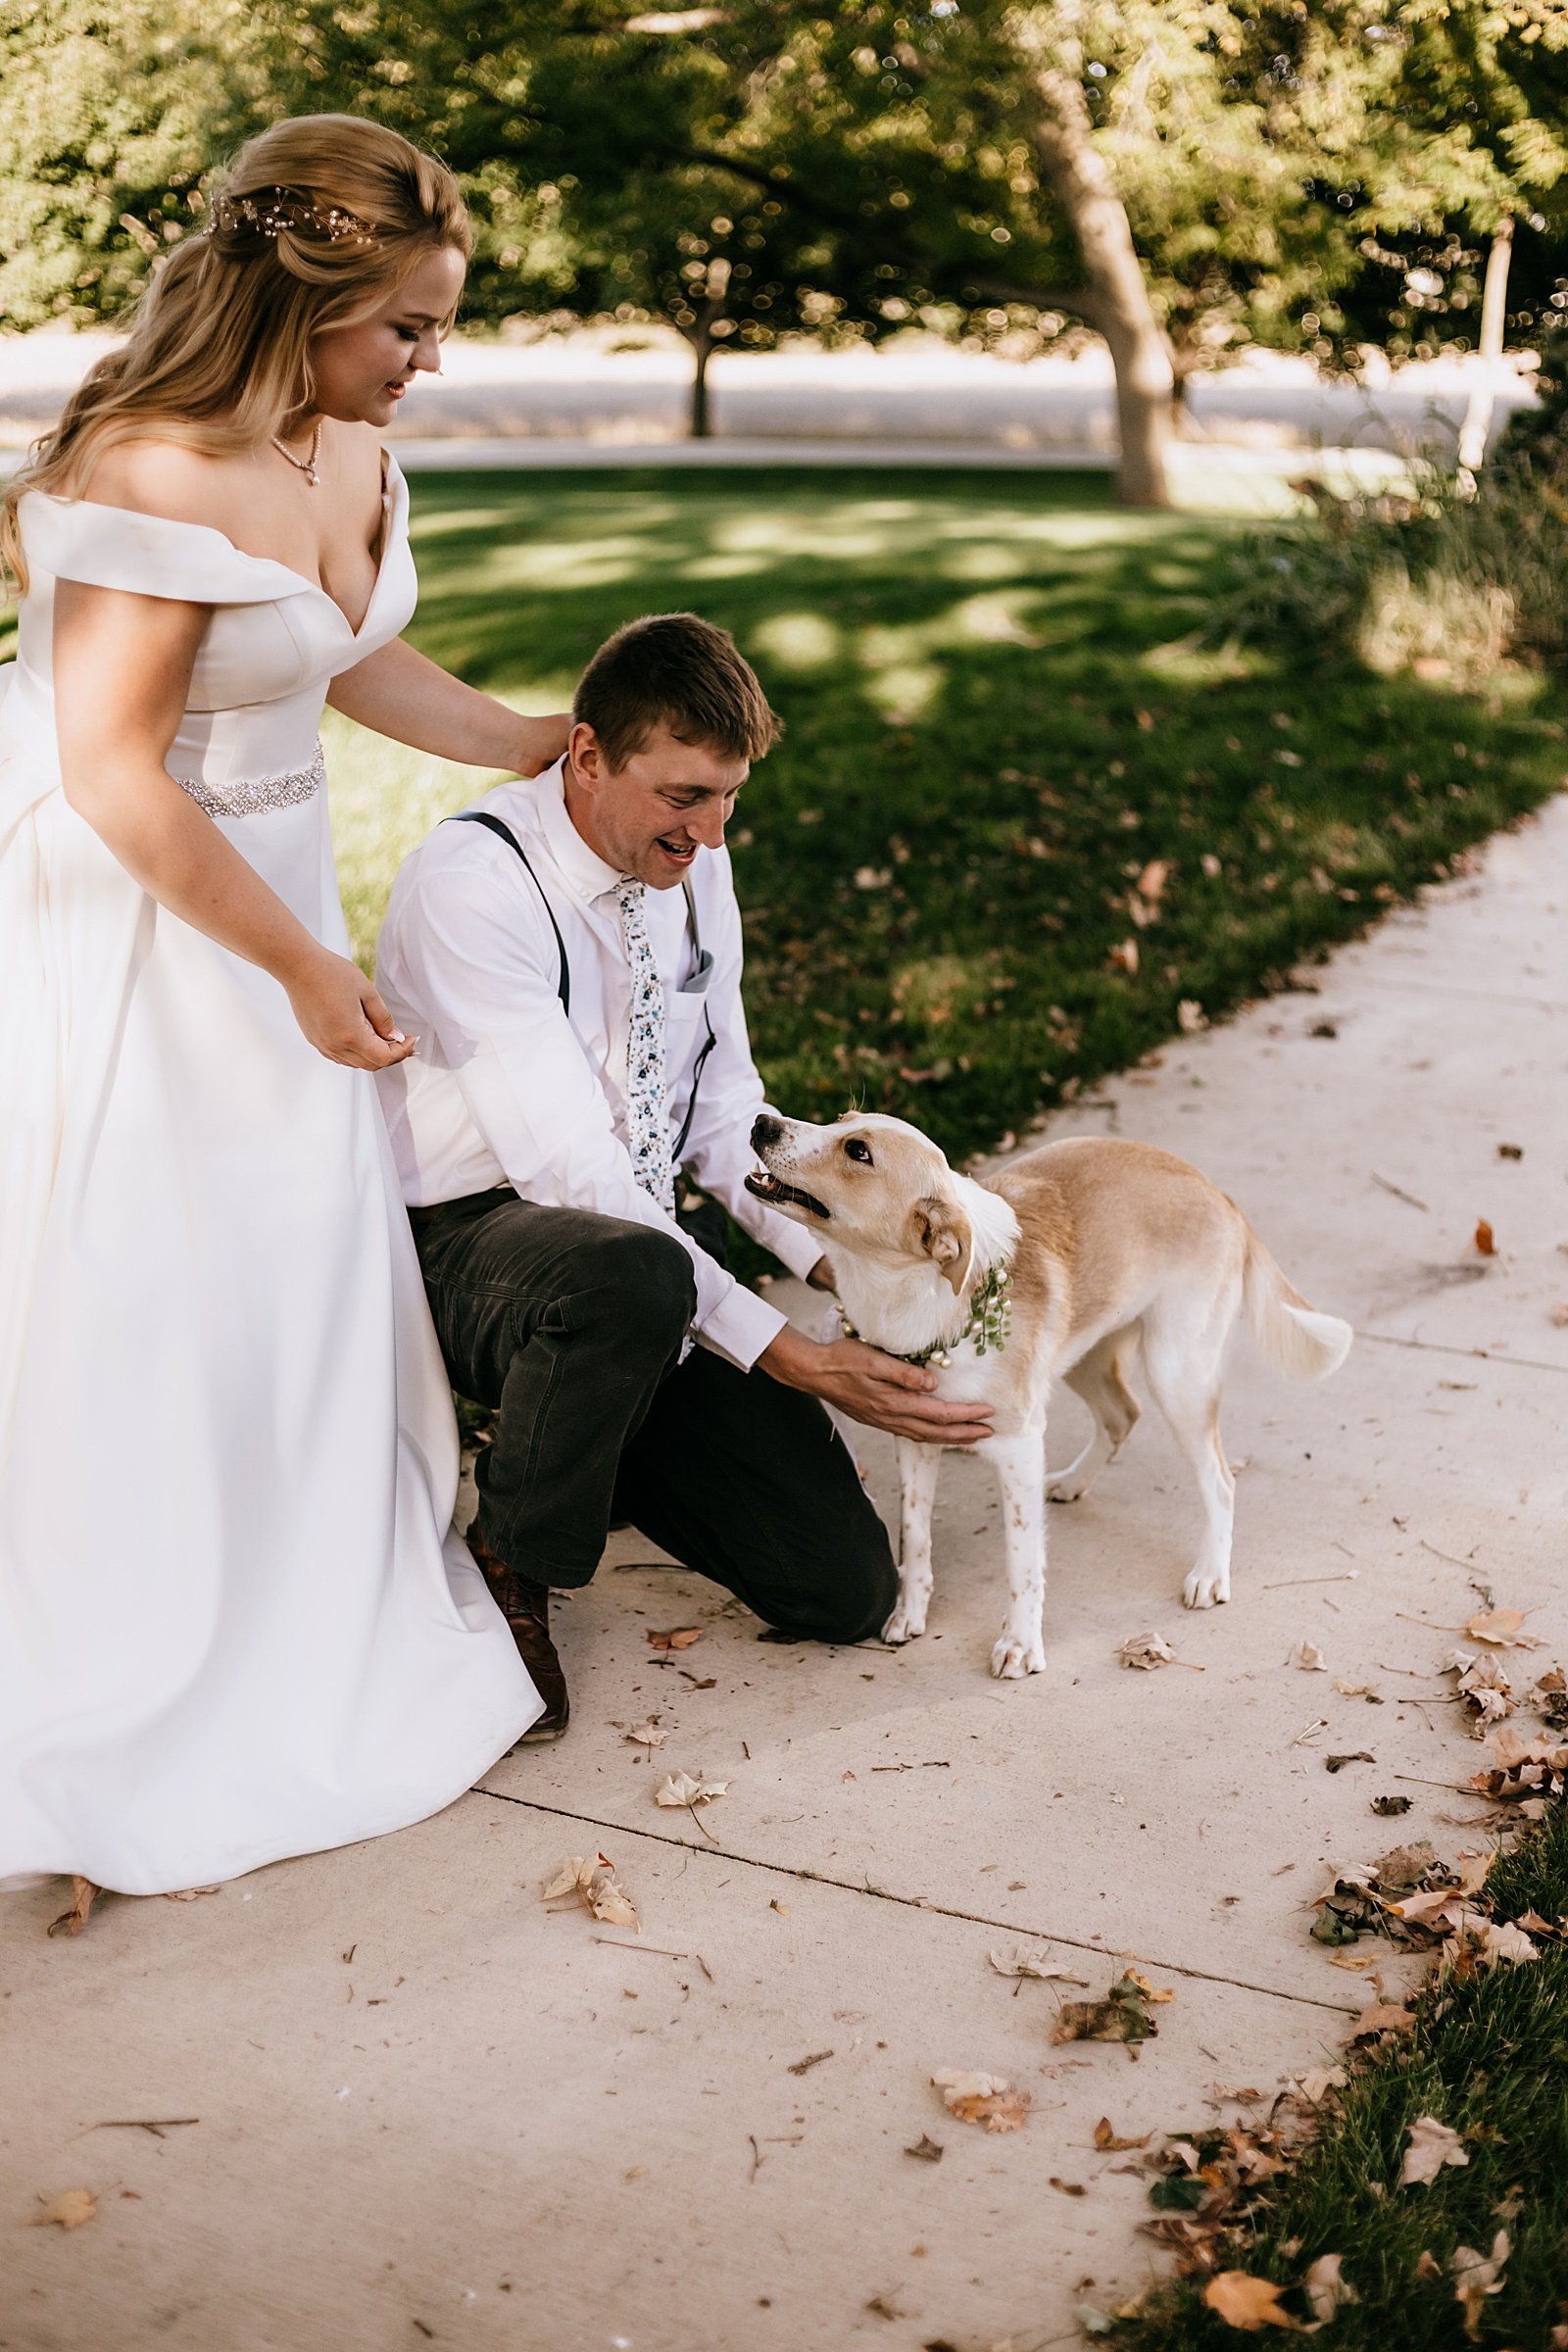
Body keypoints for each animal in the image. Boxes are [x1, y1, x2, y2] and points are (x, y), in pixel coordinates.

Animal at [747, 1114, 1353, 1684]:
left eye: (858, 1151)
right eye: (840, 1119)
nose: (762, 1122)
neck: (915, 1298)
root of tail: (1216, 1192)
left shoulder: (1018, 1445)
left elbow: (1022, 1561)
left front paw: (1020, 1645)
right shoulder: (915, 1438)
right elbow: (914, 1536)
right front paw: (909, 1613)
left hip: (1176, 1371)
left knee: (1220, 1481)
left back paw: (1210, 1573)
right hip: (1084, 1351)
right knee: (1121, 1416)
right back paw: (1072, 1482)